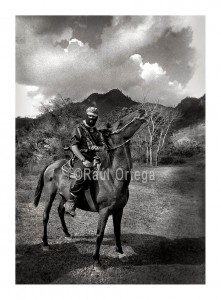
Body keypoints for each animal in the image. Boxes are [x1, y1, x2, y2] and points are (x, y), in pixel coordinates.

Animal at [33, 109, 147, 268]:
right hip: (51, 193)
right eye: (120, 123)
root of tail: (52, 165)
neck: (113, 179)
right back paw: (45, 243)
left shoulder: (119, 210)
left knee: (61, 210)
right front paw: (97, 260)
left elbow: (117, 231)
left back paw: (67, 232)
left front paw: (120, 252)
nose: (141, 110)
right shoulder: (104, 211)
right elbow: (100, 234)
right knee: (46, 215)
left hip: (64, 195)